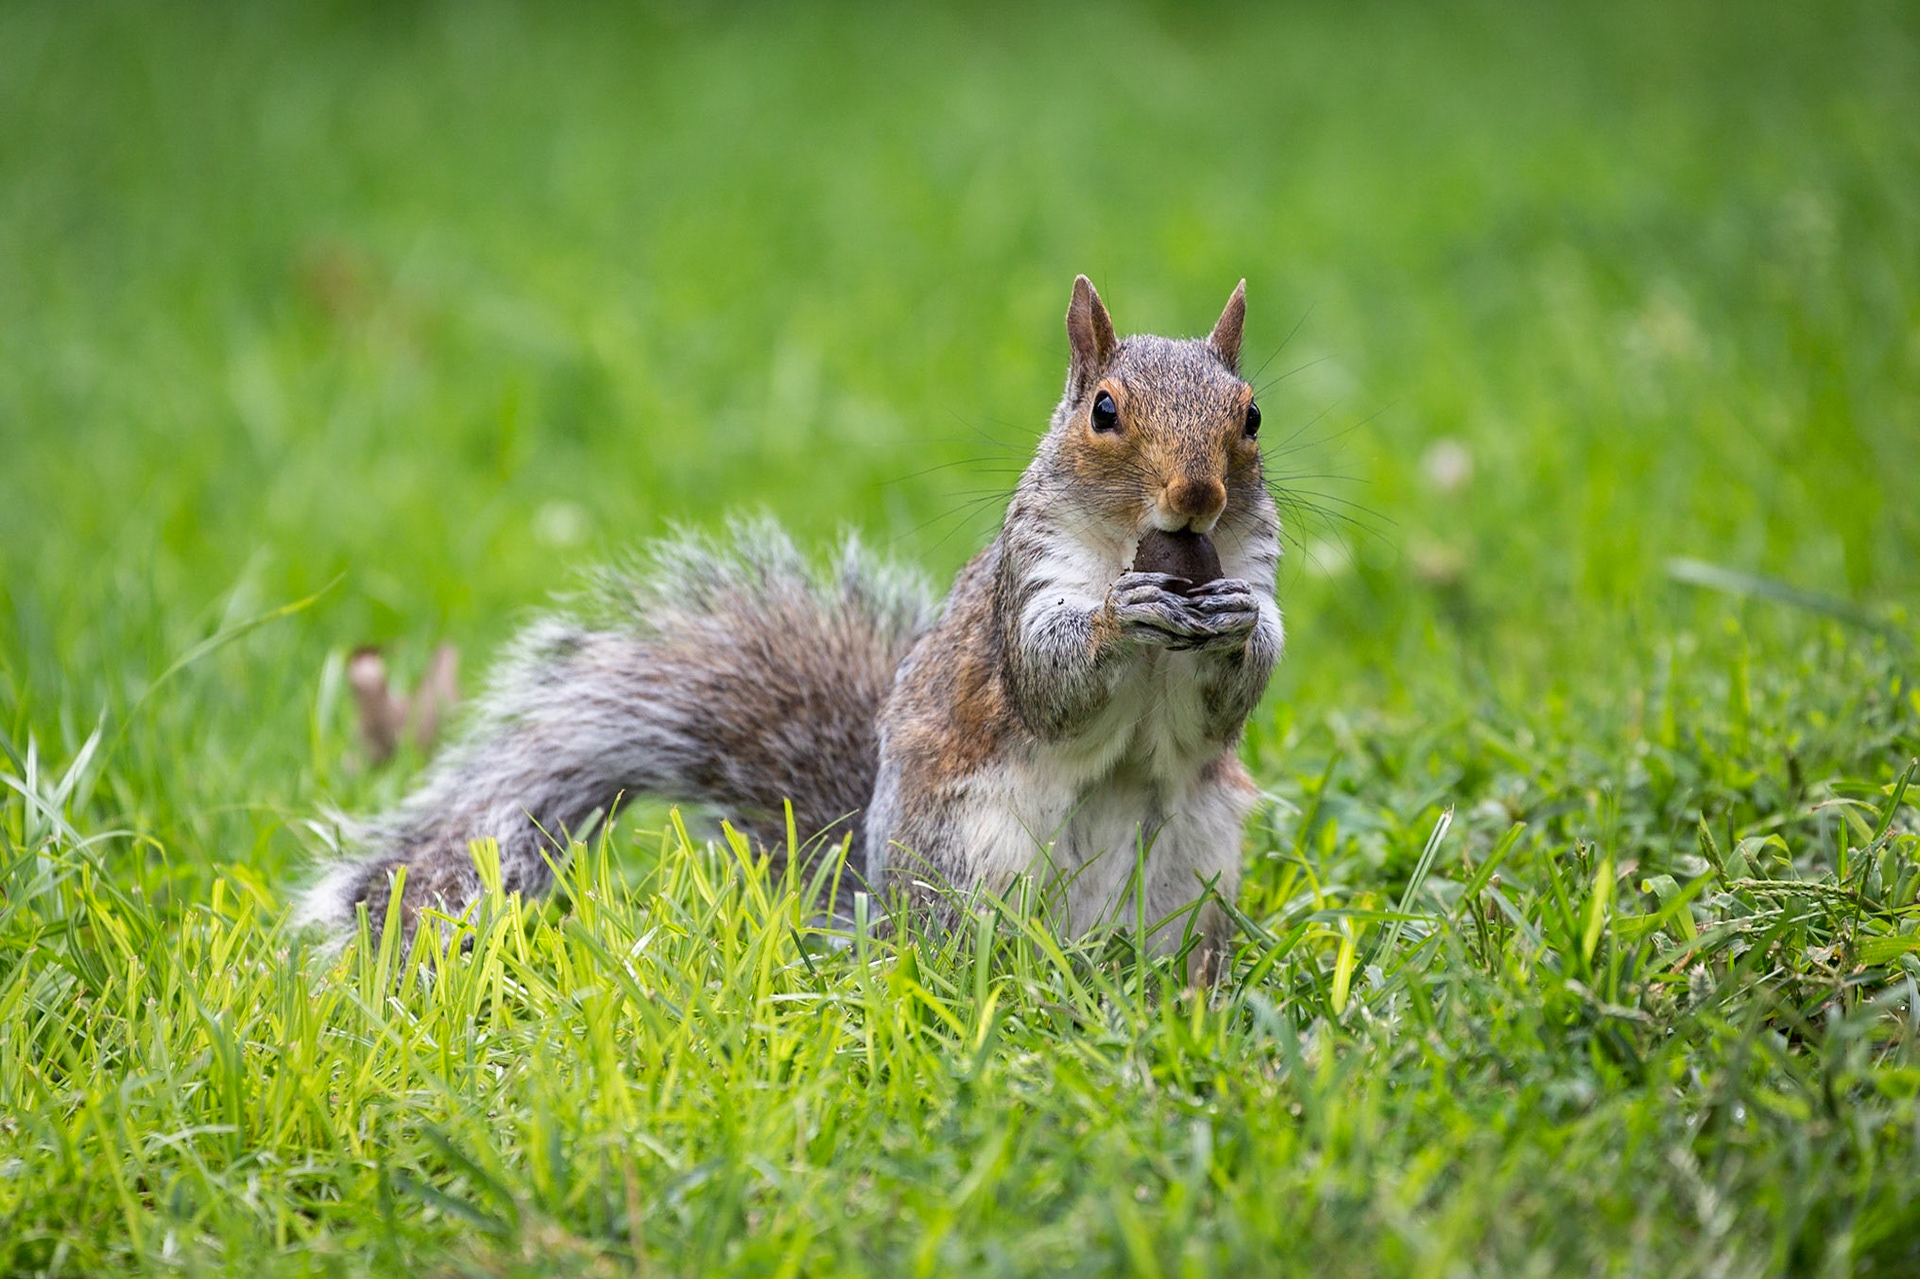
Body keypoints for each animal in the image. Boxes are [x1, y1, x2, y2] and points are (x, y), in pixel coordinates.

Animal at [299, 276, 1282, 980]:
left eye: (1252, 414)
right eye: (1103, 411)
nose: (1197, 496)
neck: (1132, 545)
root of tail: (880, 914)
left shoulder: (1254, 567)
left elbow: (1233, 692)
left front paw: (1236, 626)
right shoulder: (1025, 583)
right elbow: (1050, 681)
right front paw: (1125, 612)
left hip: (1194, 867)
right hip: (973, 865)